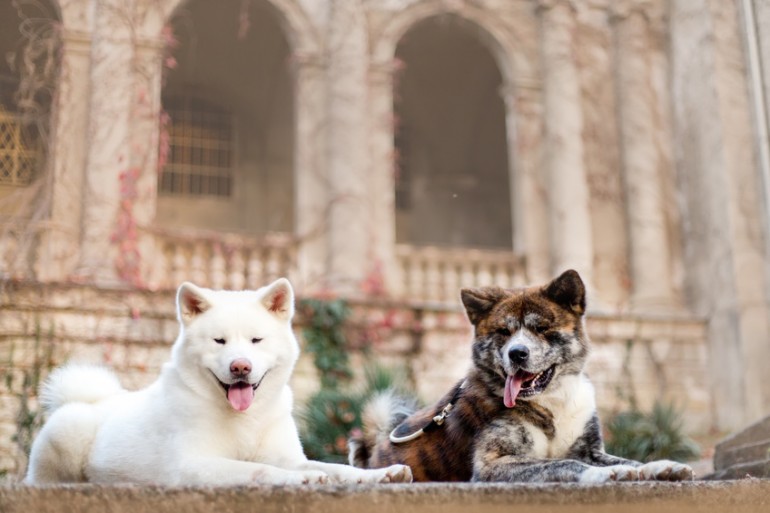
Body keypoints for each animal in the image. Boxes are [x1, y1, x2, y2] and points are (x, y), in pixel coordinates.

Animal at [25, 280, 408, 484]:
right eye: (219, 341)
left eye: (256, 340)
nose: (240, 367)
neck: (245, 420)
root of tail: (94, 400)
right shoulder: (193, 464)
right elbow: (258, 469)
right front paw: (299, 480)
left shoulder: (287, 455)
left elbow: (334, 467)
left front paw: (381, 475)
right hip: (69, 431)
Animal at [344, 270, 692, 482]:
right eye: (504, 332)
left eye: (542, 328)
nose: (517, 353)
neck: (552, 400)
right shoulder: (493, 465)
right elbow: (562, 463)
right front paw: (604, 475)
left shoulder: (591, 449)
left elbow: (627, 461)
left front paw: (661, 466)